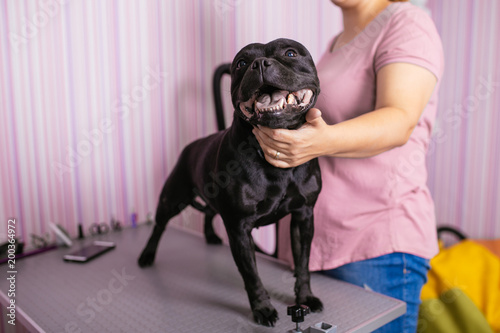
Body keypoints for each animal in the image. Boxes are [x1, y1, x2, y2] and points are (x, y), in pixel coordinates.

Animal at [139, 38, 322, 324]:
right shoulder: (239, 228)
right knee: (159, 226)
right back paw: (147, 255)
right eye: (242, 63)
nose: (260, 64)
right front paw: (262, 308)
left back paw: (210, 236)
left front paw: (305, 297)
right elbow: (252, 276)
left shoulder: (304, 216)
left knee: (208, 212)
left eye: (291, 53)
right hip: (172, 198)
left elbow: (303, 264)